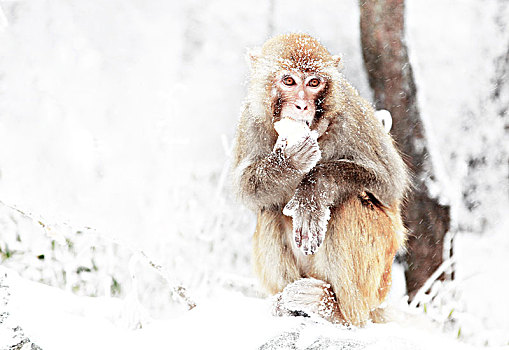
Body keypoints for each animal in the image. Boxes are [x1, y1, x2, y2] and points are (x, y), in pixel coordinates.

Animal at [231, 33, 408, 326]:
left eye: (314, 83)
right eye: (289, 80)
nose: (302, 104)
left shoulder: (353, 115)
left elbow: (389, 182)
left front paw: (312, 192)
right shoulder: (250, 120)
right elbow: (245, 188)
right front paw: (289, 161)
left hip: (380, 281)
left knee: (350, 202)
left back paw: (337, 312)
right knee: (269, 209)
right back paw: (288, 306)